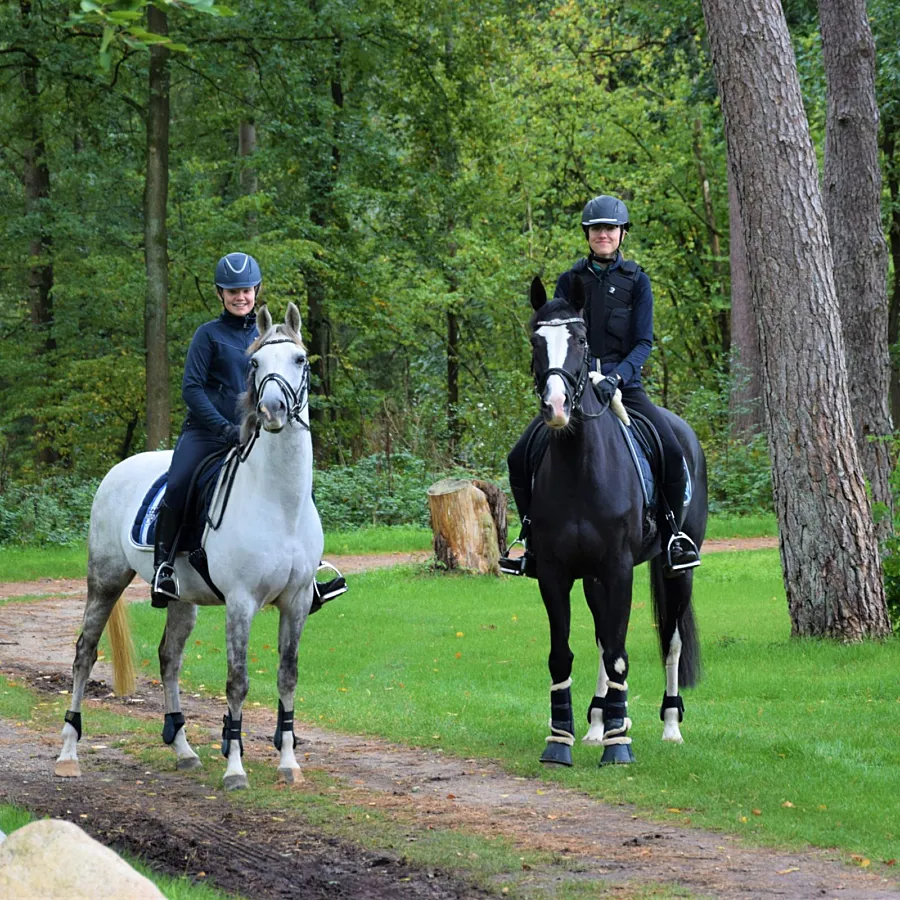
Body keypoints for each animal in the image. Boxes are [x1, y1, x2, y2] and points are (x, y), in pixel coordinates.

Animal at [56, 302, 324, 788]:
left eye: (300, 360)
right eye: (255, 364)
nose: (272, 410)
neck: (280, 503)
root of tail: (119, 468)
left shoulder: (295, 601)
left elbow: (288, 676)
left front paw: (288, 763)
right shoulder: (241, 602)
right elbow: (237, 680)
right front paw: (235, 768)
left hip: (181, 599)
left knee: (169, 658)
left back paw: (182, 748)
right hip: (105, 581)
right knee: (85, 653)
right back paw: (69, 751)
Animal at [524, 276, 708, 768]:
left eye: (580, 340)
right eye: (535, 341)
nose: (556, 407)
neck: (581, 465)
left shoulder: (619, 568)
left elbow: (621, 654)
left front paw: (619, 747)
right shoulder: (554, 572)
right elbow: (564, 655)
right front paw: (561, 739)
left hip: (676, 569)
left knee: (670, 639)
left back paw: (669, 726)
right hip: (592, 578)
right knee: (604, 638)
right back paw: (599, 721)